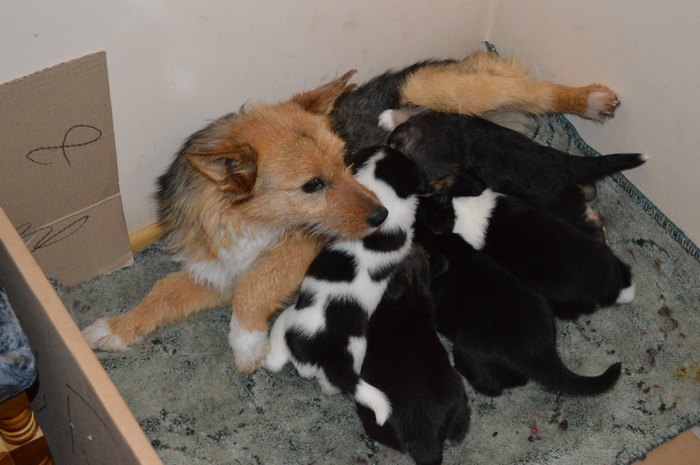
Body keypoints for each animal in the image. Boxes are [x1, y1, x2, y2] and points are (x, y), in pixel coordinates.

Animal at [264, 146, 425, 425]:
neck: (380, 191)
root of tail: (320, 352)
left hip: (285, 323)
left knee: (274, 360)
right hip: (357, 349)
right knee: (335, 385)